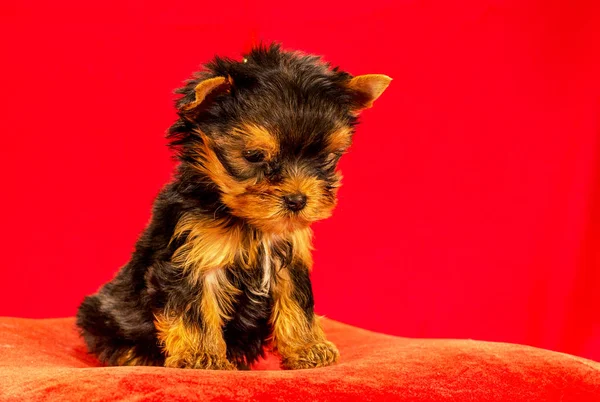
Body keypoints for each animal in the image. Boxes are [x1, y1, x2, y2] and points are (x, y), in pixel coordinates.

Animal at [75, 44, 392, 370]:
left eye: (327, 158)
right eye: (254, 156)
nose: (297, 200)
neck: (250, 222)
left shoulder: (289, 256)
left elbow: (297, 302)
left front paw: (308, 347)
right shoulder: (194, 255)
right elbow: (195, 310)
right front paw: (201, 356)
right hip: (103, 313)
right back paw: (136, 356)